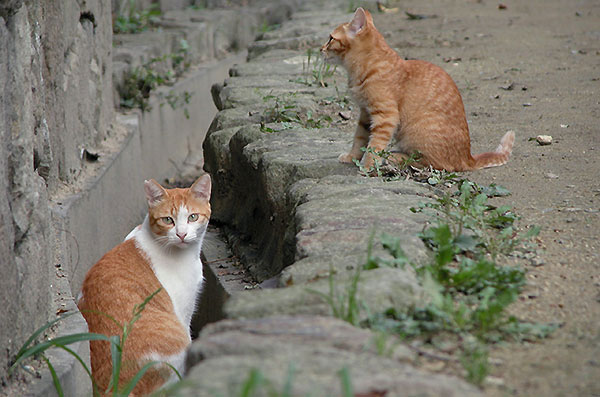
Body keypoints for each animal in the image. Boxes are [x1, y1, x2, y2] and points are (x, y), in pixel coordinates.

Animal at [322, 7, 512, 171]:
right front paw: (352, 157)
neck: (366, 66)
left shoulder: (385, 116)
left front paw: (368, 166)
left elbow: (374, 145)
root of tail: (468, 158)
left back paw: (395, 157)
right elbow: (359, 138)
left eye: (331, 38)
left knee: (435, 164)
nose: (321, 49)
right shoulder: (365, 114)